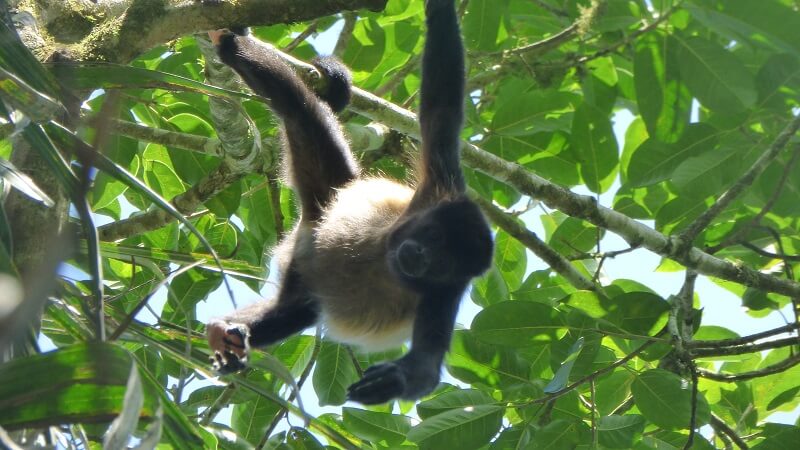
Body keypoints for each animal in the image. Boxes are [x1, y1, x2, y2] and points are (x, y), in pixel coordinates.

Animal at [205, 0, 494, 404]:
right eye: (436, 237)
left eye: (444, 262)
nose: (420, 256)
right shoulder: (440, 188)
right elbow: (442, 107)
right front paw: (440, 8)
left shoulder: (445, 294)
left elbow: (427, 363)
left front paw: (394, 380)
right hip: (325, 193)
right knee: (296, 105)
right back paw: (233, 46)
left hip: (305, 262)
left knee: (295, 310)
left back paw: (231, 335)